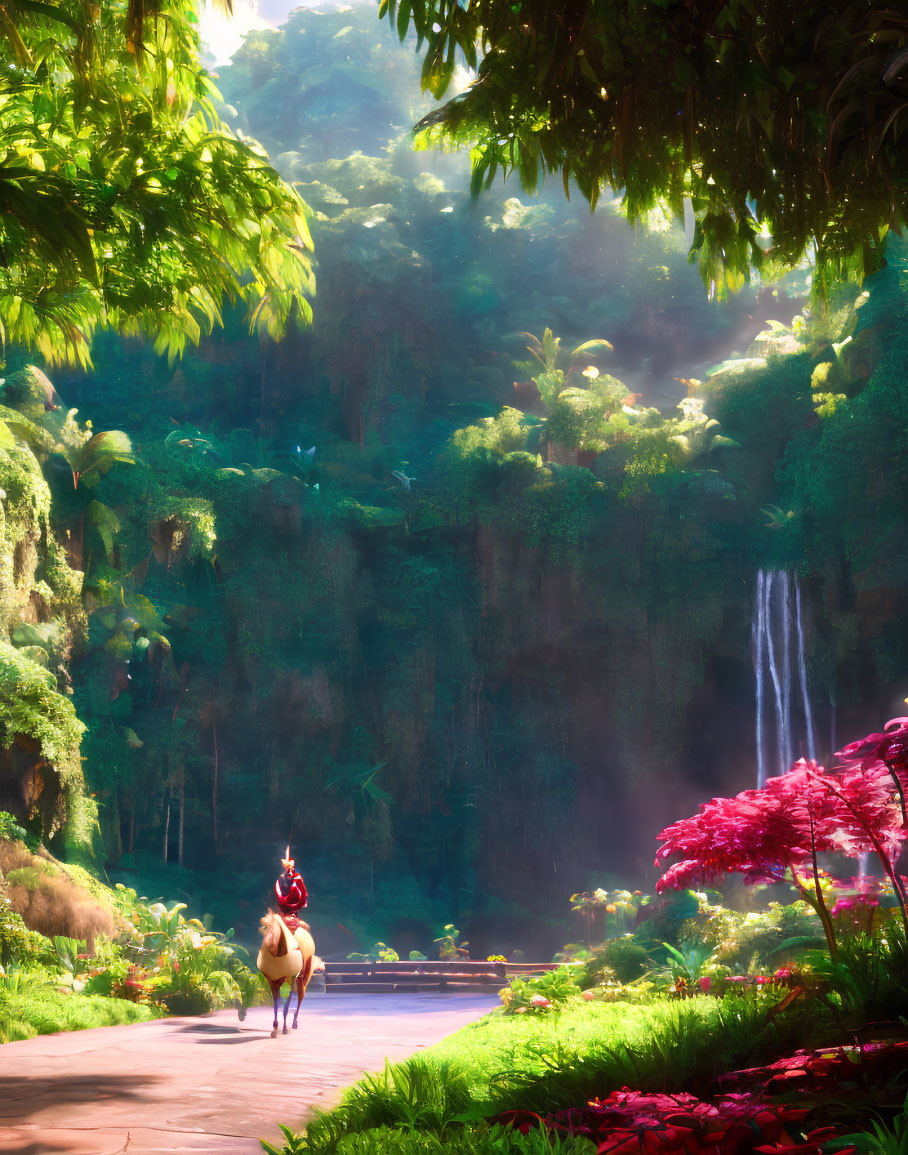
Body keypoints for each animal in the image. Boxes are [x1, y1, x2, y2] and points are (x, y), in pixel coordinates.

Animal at [256, 910, 316, 1039]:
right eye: (264, 928)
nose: (266, 948)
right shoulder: (273, 980)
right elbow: (276, 1002)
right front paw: (275, 1028)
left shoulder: (293, 977)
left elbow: (287, 1004)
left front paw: (284, 1028)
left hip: (302, 978)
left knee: (300, 996)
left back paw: (294, 1023)